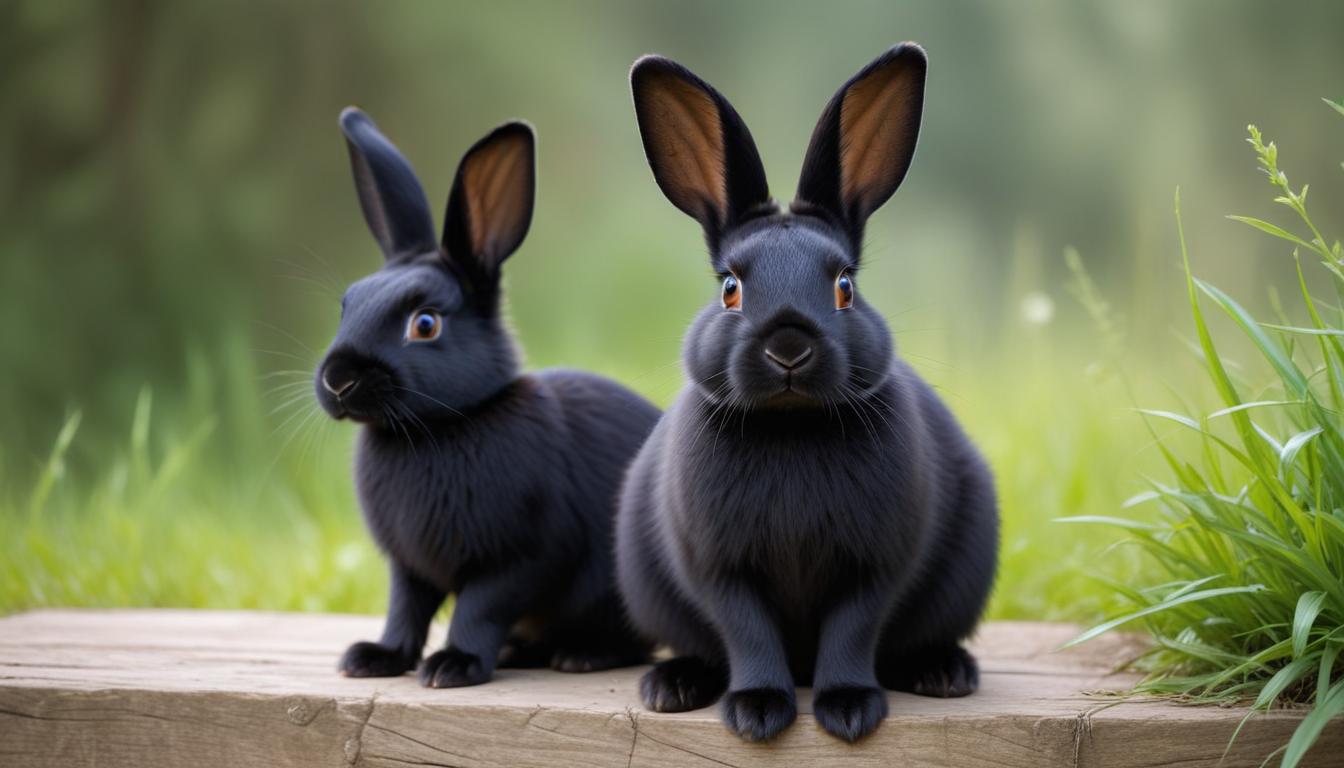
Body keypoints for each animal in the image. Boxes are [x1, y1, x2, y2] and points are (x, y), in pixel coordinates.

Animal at [315, 107, 659, 688]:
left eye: (425, 324)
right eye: (347, 305)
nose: (337, 379)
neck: (439, 426)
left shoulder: (519, 559)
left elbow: (479, 609)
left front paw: (453, 666)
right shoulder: (408, 567)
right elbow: (404, 610)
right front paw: (374, 659)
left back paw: (582, 655)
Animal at [614, 43, 999, 743]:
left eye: (845, 286)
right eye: (730, 288)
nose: (789, 345)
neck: (790, 425)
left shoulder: (874, 567)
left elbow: (852, 632)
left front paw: (848, 710)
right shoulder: (720, 570)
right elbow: (748, 633)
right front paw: (758, 713)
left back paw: (945, 674)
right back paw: (671, 687)